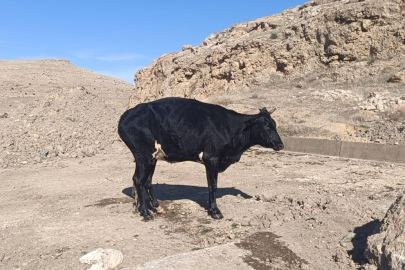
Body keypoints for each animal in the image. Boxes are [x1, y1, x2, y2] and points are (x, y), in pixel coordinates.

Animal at [117, 98, 282, 220]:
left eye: (274, 124)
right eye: (267, 126)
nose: (281, 144)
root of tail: (126, 115)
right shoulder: (212, 158)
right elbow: (212, 185)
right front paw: (215, 211)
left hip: (152, 157)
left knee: (147, 180)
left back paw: (156, 207)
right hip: (143, 155)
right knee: (138, 180)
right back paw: (145, 212)